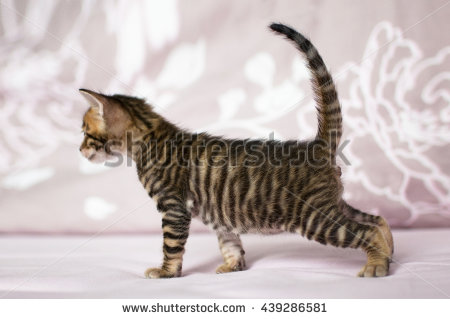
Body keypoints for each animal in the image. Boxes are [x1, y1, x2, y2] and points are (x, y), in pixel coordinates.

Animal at [79, 23, 392, 278]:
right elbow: (229, 242)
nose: (80, 149)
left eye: (84, 132)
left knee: (365, 230)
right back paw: (389, 254)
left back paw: (376, 264)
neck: (152, 137)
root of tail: (316, 146)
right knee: (377, 219)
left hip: (314, 217)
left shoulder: (173, 207)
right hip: (331, 204)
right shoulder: (218, 214)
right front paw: (233, 266)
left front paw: (166, 272)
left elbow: (171, 245)